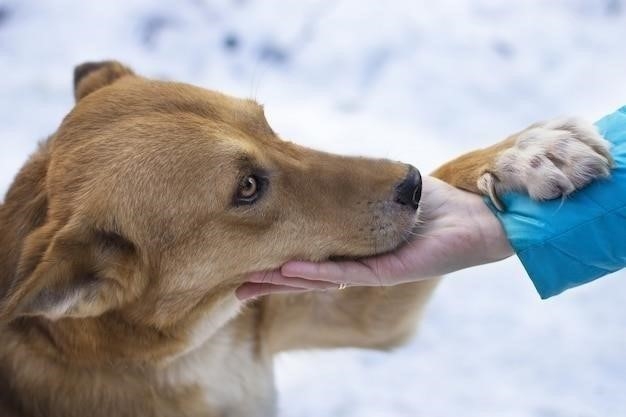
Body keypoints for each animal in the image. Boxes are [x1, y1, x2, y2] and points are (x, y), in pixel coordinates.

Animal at [0, 61, 608, 416]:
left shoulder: (348, 315)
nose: (410, 184)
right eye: (247, 187)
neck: (193, 348)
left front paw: (523, 154)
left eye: (267, 123)